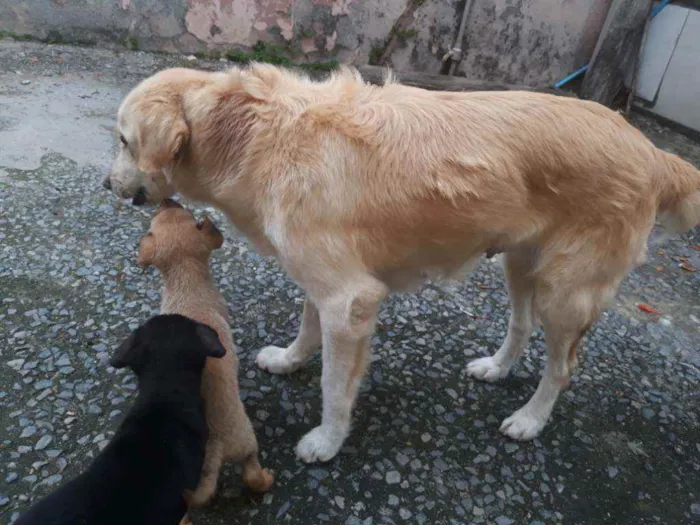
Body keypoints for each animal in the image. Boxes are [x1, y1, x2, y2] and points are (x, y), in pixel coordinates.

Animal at [105, 64, 700, 462]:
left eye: (124, 140)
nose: (107, 184)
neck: (256, 132)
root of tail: (650, 149)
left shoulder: (350, 300)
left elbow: (334, 387)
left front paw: (326, 441)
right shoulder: (323, 284)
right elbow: (307, 326)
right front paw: (291, 359)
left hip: (566, 290)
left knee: (562, 366)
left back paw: (530, 419)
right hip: (521, 262)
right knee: (521, 324)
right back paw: (496, 368)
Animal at [139, 199, 274, 502]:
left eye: (163, 215)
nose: (167, 199)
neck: (186, 284)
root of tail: (217, 448)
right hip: (248, 442)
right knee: (252, 475)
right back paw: (267, 478)